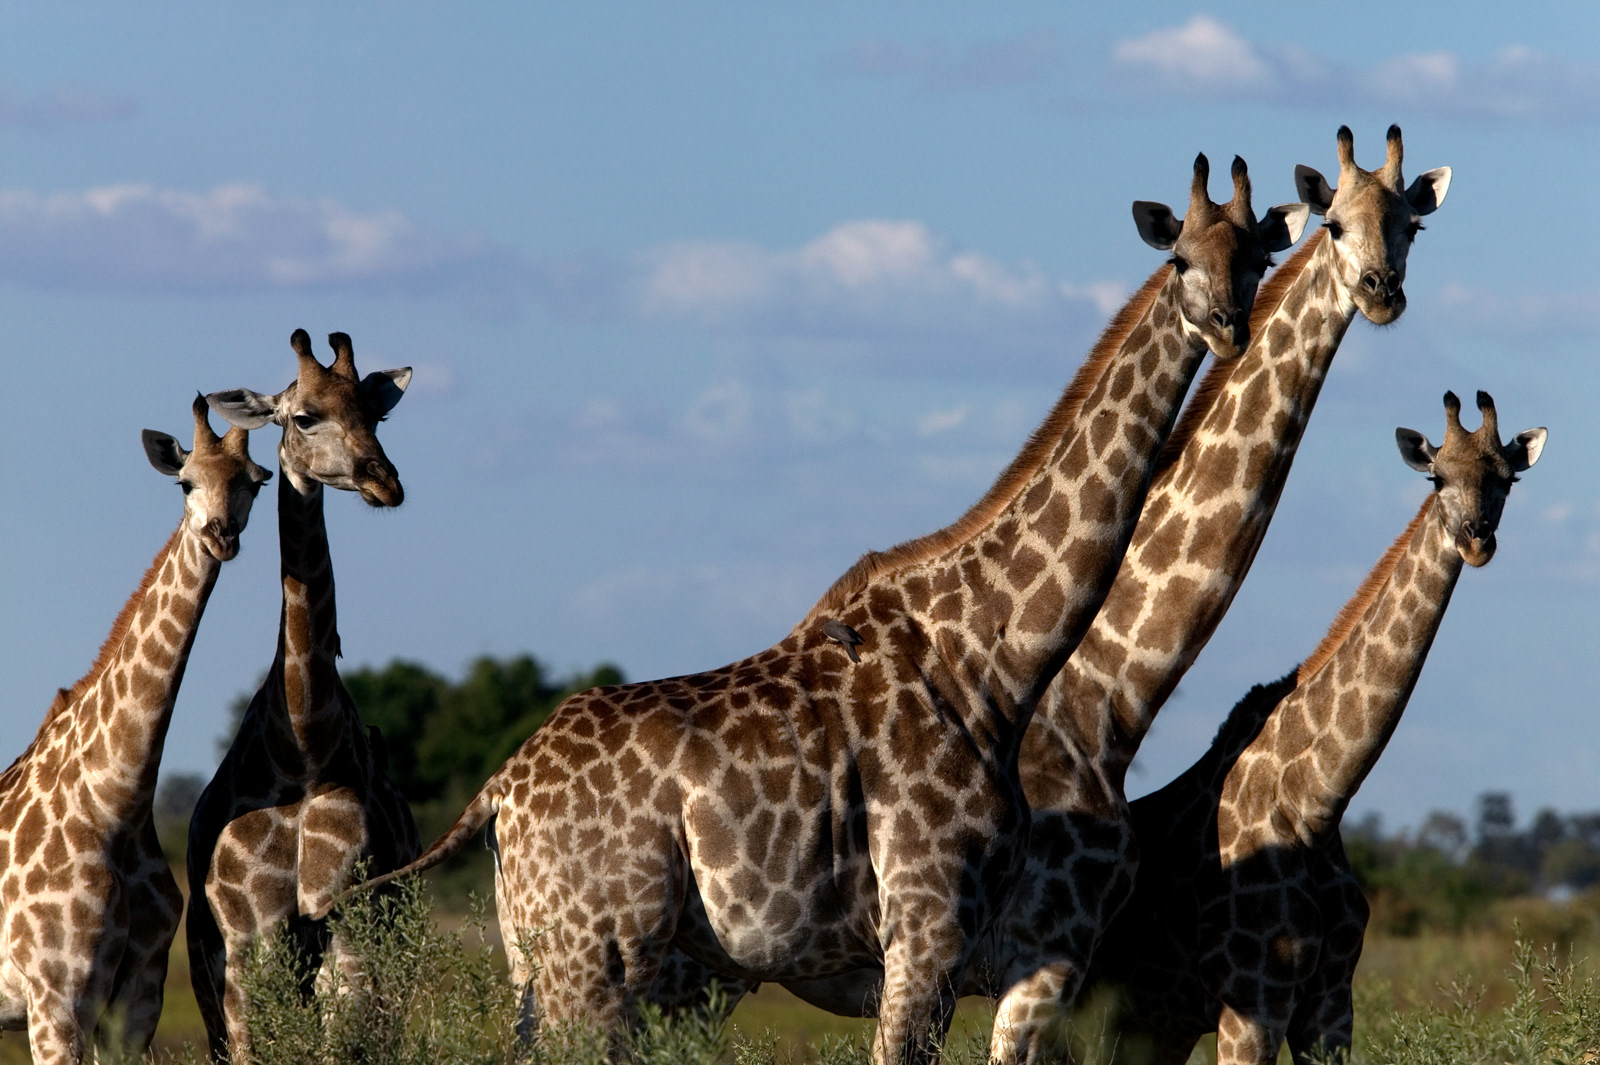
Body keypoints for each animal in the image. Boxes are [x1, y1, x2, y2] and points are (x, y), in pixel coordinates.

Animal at [0, 398, 269, 1065]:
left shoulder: (135, 1004)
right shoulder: (55, 1002)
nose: (221, 534)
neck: (114, 802)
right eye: (185, 482)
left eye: (255, 482)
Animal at [186, 329, 420, 1062]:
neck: (303, 747)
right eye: (306, 416)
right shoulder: (250, 940)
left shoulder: (348, 925)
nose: (384, 481)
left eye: (374, 415)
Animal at [327, 154, 1303, 1065]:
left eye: (1256, 255)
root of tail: (501, 791)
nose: (1229, 326)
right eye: (1179, 257)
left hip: (545, 958)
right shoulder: (932, 928)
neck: (998, 659)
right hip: (596, 958)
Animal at [1086, 391, 1545, 1064]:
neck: (1314, 803)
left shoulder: (1331, 1006)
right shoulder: (1250, 1003)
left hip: (1145, 1026)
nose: (1476, 541)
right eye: (1437, 479)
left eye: (1508, 480)